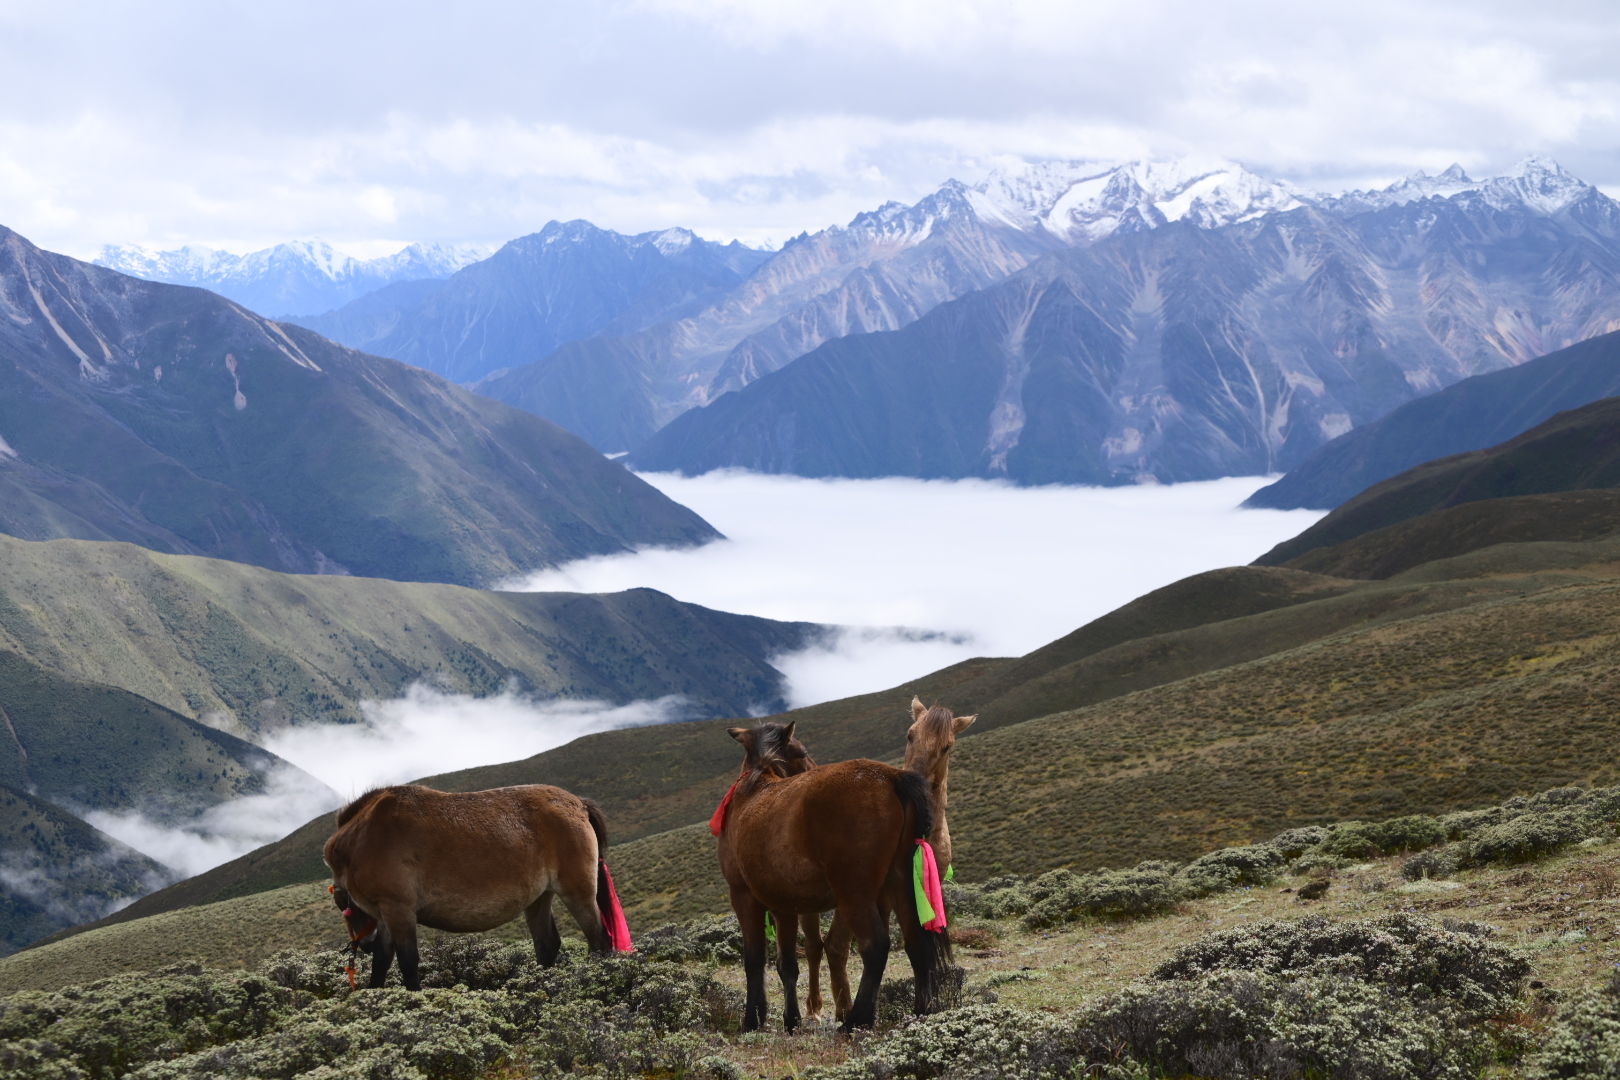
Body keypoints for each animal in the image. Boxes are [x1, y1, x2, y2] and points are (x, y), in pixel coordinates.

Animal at [319, 780, 622, 990]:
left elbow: (407, 962)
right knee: (547, 944)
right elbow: (381, 961)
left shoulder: (398, 910)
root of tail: (578, 804)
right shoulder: (385, 914)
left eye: (345, 907)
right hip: (539, 897)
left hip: (577, 893)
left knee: (600, 939)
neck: (363, 836)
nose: (364, 943)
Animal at [712, 722, 946, 1036]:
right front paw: (790, 1020)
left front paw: (751, 1020)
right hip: (899, 883)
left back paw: (856, 1020)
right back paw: (921, 1012)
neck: (751, 791)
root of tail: (892, 777)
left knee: (875, 946)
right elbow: (787, 964)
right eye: (802, 752)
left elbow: (754, 960)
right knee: (916, 944)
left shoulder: (743, 897)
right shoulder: (783, 907)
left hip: (854, 893)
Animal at [810, 696, 972, 1029]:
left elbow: (915, 944)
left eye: (947, 746)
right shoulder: (882, 896)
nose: (915, 778)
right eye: (910, 735)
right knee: (831, 947)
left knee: (834, 945)